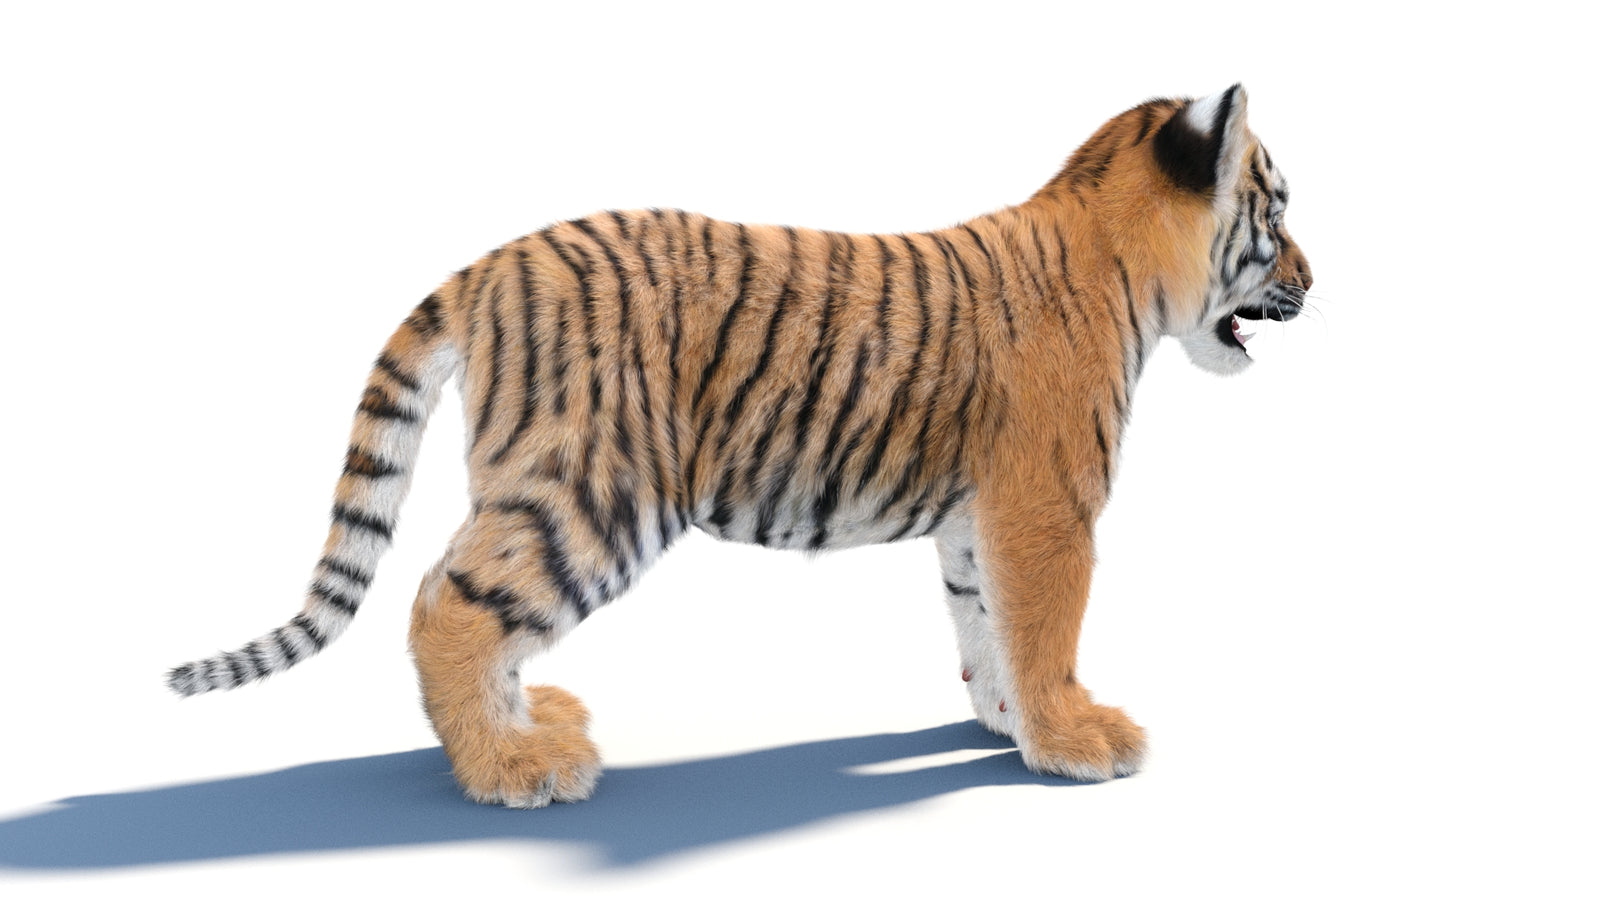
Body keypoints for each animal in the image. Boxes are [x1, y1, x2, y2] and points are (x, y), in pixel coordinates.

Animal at [168, 84, 1312, 808]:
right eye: (1278, 210)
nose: (1316, 275)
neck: (1125, 268)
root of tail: (491, 265)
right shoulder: (1046, 502)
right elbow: (1045, 626)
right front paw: (1076, 740)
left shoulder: (972, 514)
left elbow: (983, 620)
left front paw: (1004, 723)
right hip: (597, 487)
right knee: (447, 603)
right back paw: (510, 769)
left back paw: (533, 723)